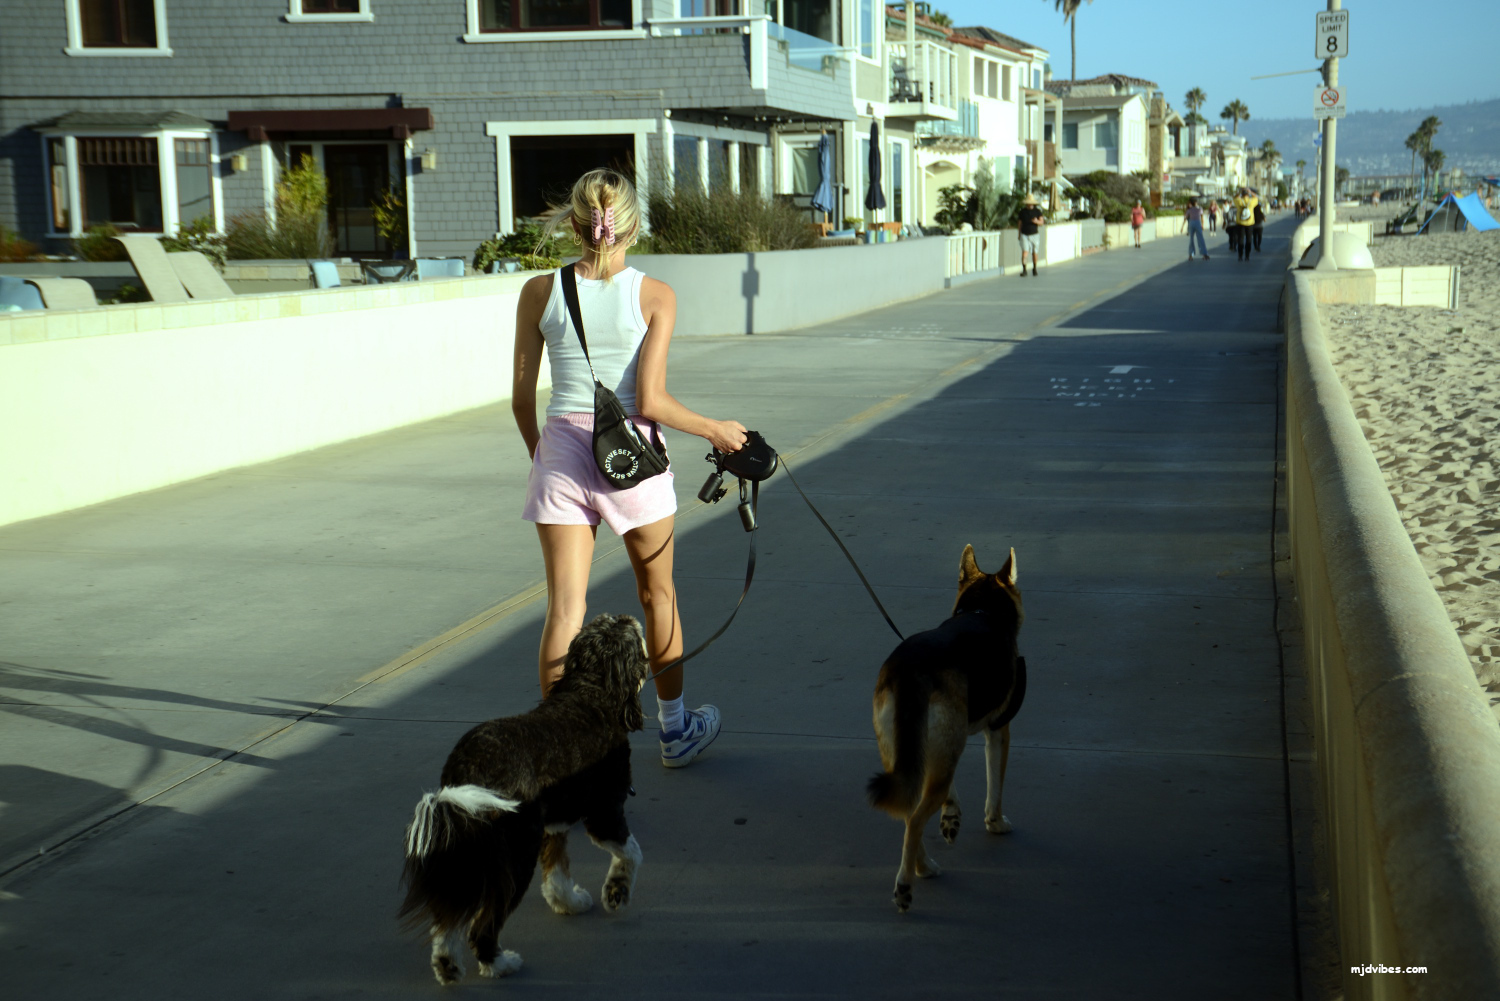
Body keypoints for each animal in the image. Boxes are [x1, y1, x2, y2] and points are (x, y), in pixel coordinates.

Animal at [398, 613, 649, 985]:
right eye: (626, 630)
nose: (625, 615)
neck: (591, 692)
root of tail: (469, 768)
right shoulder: (605, 812)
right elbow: (631, 853)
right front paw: (617, 891)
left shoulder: (554, 824)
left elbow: (557, 871)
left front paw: (568, 901)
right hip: (515, 854)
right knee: (482, 925)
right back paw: (499, 963)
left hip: (471, 846)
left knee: (448, 920)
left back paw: (448, 966)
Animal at [867, 545, 1026, 912]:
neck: (982, 610)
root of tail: (910, 669)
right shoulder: (999, 731)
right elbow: (995, 787)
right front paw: (996, 823)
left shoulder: (938, 749)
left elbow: (950, 789)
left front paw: (951, 816)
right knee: (913, 821)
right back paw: (907, 883)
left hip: (900, 755)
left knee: (909, 811)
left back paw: (922, 866)